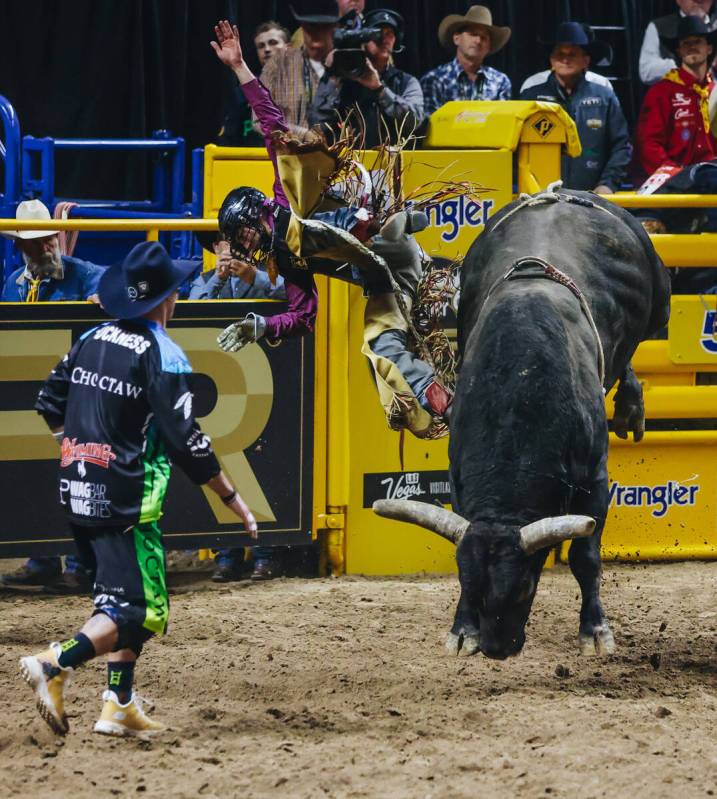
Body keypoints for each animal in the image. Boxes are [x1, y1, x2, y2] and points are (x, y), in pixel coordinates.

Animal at [374, 191, 672, 660]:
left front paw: (595, 630)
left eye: (524, 587)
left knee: (633, 352)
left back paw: (631, 407)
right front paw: (463, 630)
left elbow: (586, 558)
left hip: (661, 300)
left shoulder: (595, 477)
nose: (498, 648)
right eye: (470, 585)